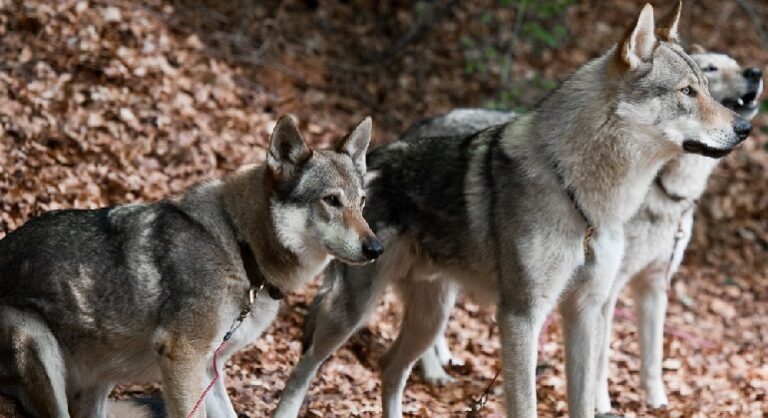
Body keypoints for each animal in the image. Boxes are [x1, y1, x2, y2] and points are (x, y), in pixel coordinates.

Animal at [0, 116, 382, 418]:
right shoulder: (183, 358)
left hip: (100, 382)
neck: (239, 245)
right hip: (35, 340)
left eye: (362, 203)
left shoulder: (209, 370)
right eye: (331, 200)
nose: (376, 248)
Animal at [274, 4, 752, 418]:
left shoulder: (587, 311)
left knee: (391, 369)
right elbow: (526, 405)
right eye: (688, 92)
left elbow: (584, 399)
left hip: (432, 315)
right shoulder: (522, 316)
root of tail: (366, 169)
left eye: (707, 89)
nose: (745, 128)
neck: (584, 202)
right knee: (302, 372)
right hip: (353, 315)